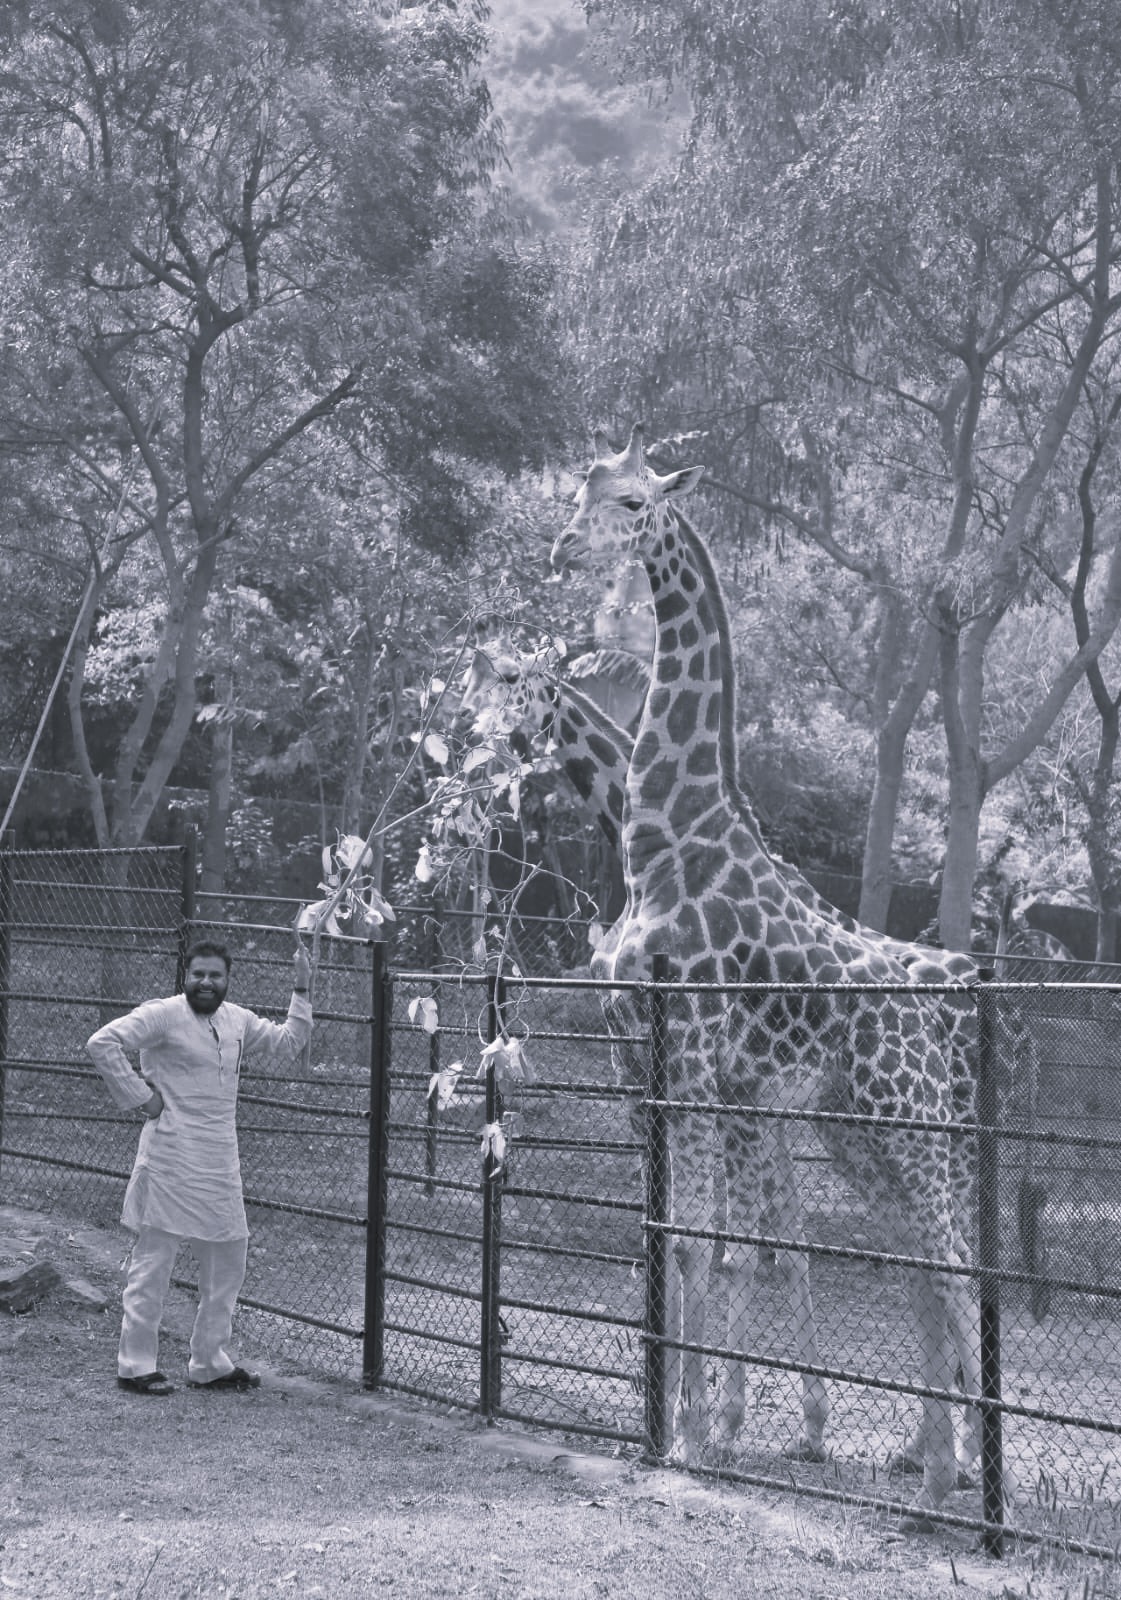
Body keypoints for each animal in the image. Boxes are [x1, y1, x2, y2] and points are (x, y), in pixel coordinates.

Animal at [550, 425, 989, 1515]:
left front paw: (695, 1434)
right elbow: (664, 1241)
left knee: (954, 1267)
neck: (666, 840)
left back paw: (967, 1474)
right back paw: (935, 1464)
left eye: (633, 503)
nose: (562, 552)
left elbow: (705, 1246)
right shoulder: (646, 1071)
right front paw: (669, 1424)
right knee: (921, 1267)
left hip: (908, 1122)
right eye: (575, 493)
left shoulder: (701, 1065)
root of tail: (940, 1000)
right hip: (858, 1132)